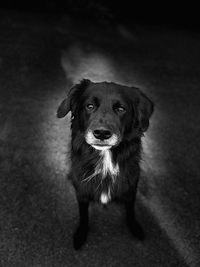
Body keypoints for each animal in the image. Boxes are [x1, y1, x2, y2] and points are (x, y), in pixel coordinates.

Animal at [57, 78, 154, 250]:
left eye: (121, 109)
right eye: (90, 106)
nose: (102, 133)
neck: (105, 159)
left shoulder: (131, 188)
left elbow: (131, 210)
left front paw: (134, 227)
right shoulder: (81, 192)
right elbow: (83, 215)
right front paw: (81, 234)